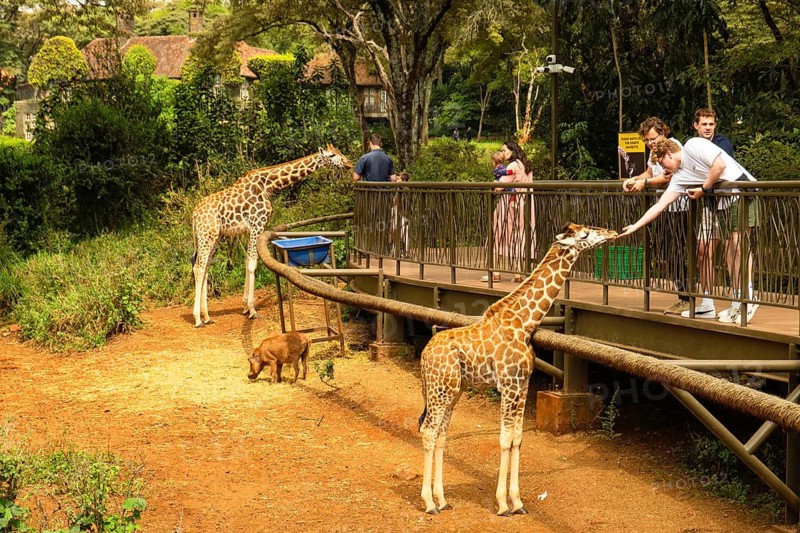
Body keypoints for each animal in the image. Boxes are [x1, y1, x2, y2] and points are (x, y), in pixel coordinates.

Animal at [191, 144, 352, 328]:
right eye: (332, 155)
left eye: (339, 153)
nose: (349, 163)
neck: (268, 185)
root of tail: (194, 215)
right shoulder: (257, 224)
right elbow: (252, 264)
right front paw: (252, 310)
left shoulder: (252, 228)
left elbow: (247, 262)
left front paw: (245, 307)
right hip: (206, 235)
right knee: (198, 267)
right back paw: (197, 319)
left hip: (215, 236)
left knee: (205, 268)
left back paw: (207, 316)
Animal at [418, 223, 617, 515]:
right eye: (585, 235)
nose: (612, 233)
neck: (525, 324)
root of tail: (424, 354)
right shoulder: (509, 384)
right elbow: (504, 438)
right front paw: (503, 504)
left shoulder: (523, 385)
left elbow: (517, 438)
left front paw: (518, 502)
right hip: (439, 390)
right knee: (429, 431)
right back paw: (429, 503)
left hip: (453, 390)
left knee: (442, 433)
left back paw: (442, 499)